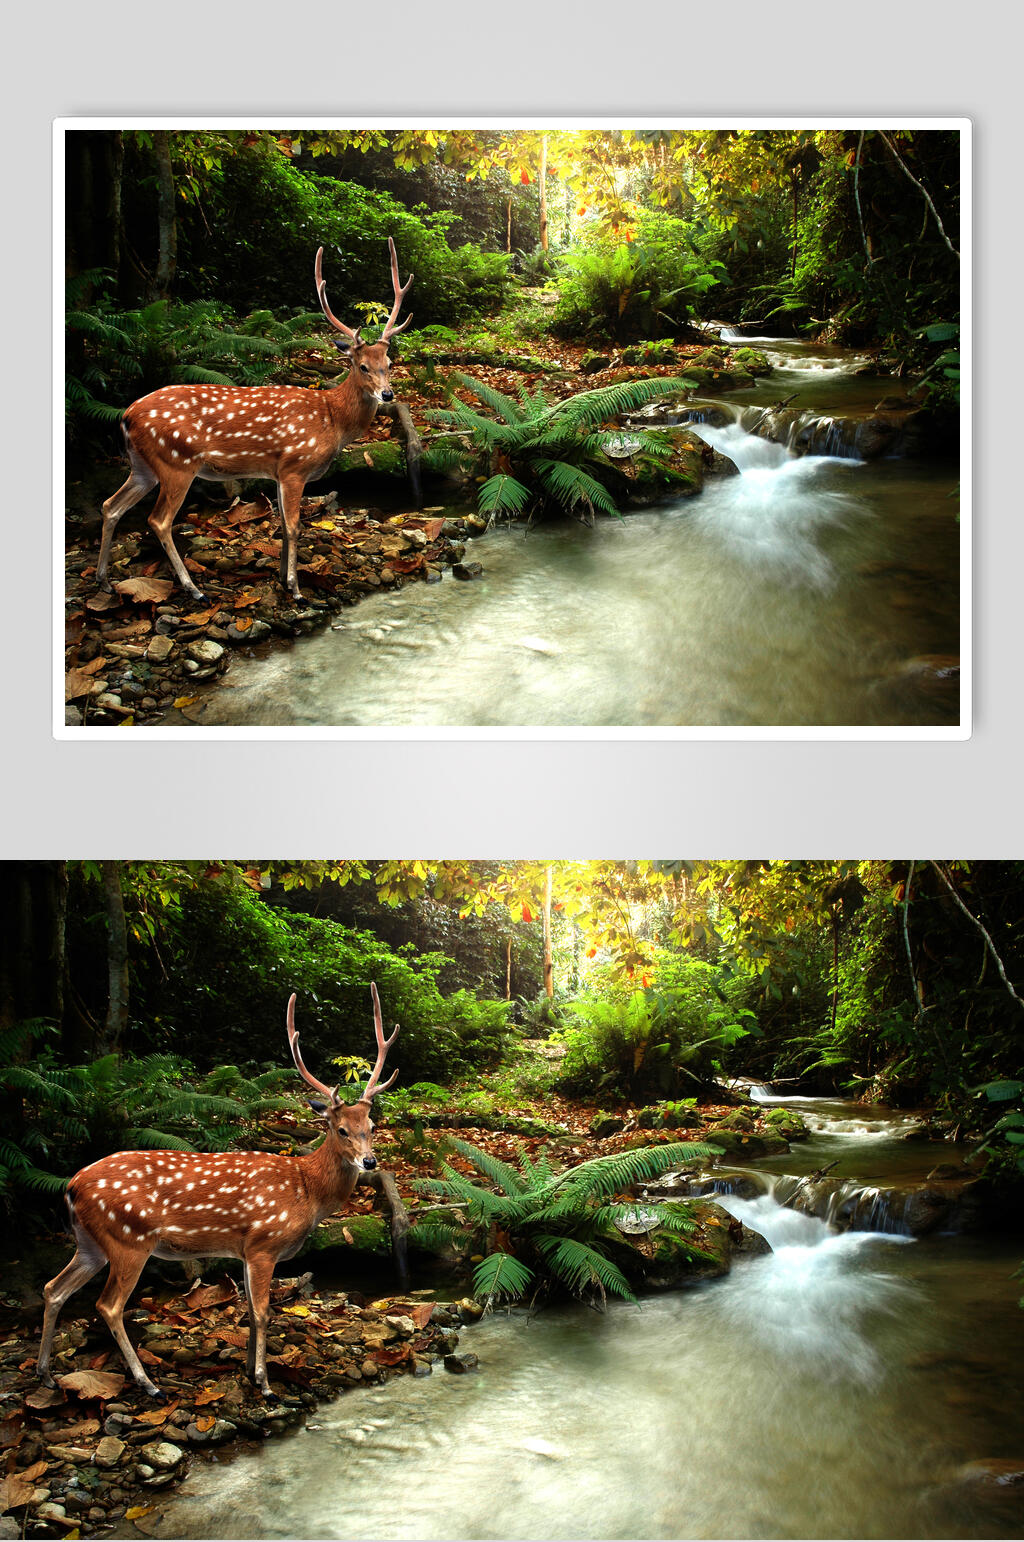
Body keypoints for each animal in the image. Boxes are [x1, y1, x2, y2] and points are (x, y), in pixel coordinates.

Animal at [36, 984, 400, 1401]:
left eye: (371, 1126)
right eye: (340, 1129)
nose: (370, 1161)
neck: (305, 1190)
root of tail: (71, 1186)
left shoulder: (244, 1249)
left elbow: (250, 1312)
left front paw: (249, 1372)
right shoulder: (264, 1243)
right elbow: (263, 1312)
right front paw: (265, 1384)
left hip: (90, 1243)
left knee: (53, 1288)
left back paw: (46, 1374)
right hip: (129, 1238)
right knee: (108, 1305)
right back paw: (149, 1384)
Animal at [94, 240, 414, 605]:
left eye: (389, 362)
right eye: (361, 366)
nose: (387, 394)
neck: (331, 419)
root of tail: (126, 416)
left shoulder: (277, 471)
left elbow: (282, 525)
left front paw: (282, 579)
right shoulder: (295, 466)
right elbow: (294, 526)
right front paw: (296, 590)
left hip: (143, 465)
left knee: (110, 505)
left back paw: (104, 581)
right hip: (177, 461)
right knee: (158, 520)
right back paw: (194, 589)